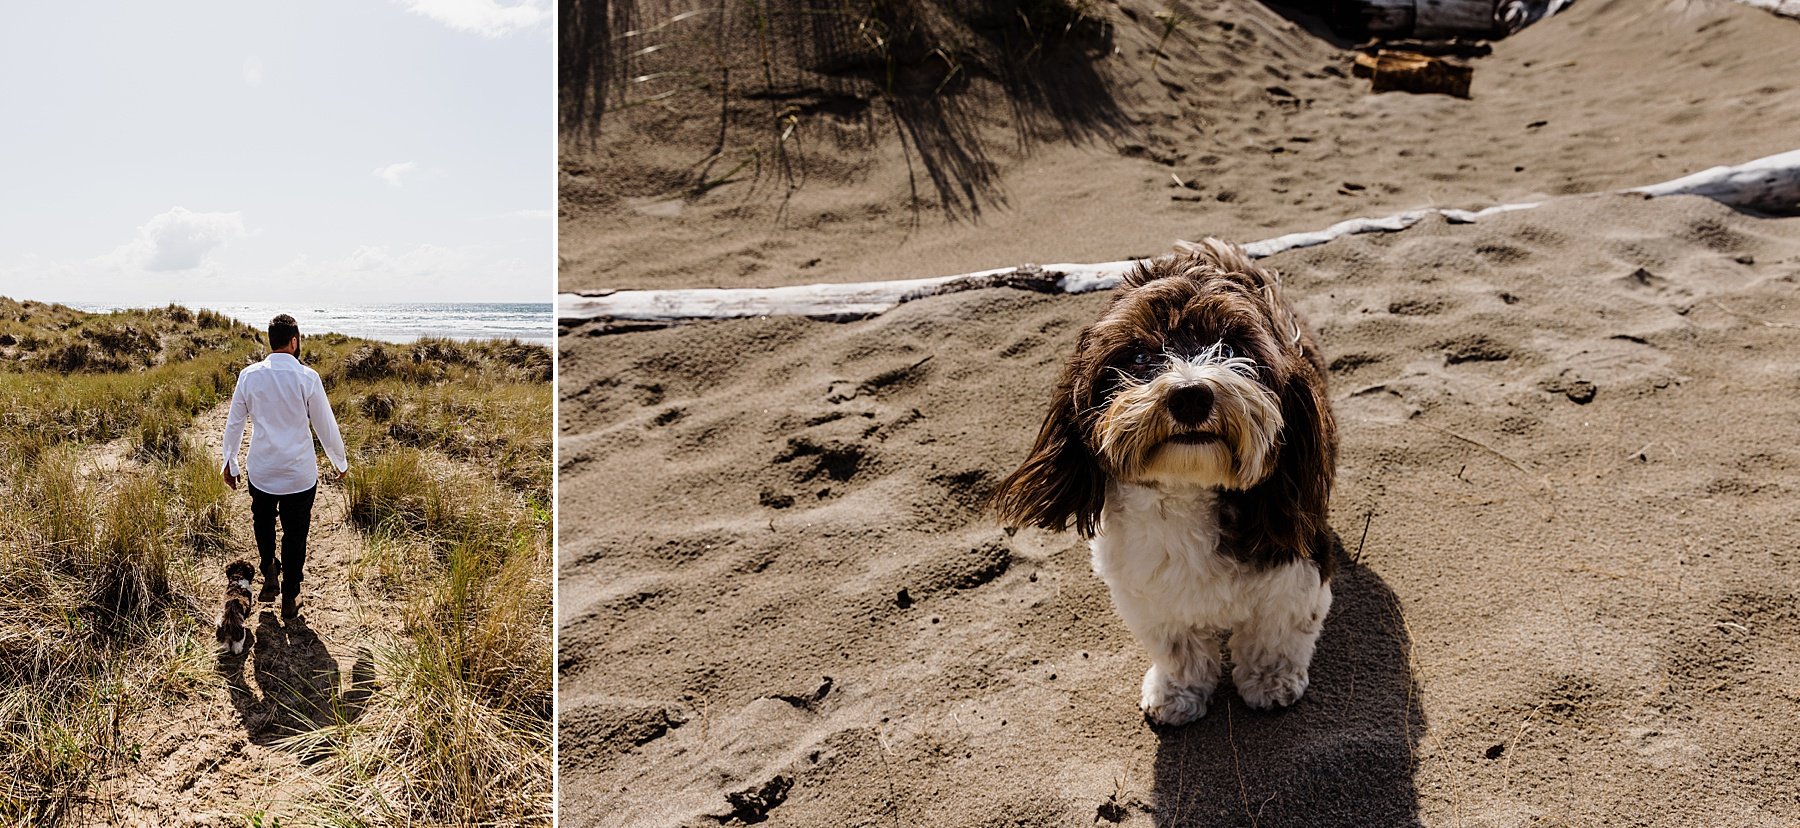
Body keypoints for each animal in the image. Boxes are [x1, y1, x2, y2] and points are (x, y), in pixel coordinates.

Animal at [1000, 239, 1339, 723]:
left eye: (1231, 346)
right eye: (1140, 355)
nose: (1190, 394)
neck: (1187, 489)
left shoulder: (1295, 565)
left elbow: (1276, 633)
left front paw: (1271, 682)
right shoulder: (1146, 592)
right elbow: (1178, 647)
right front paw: (1178, 693)